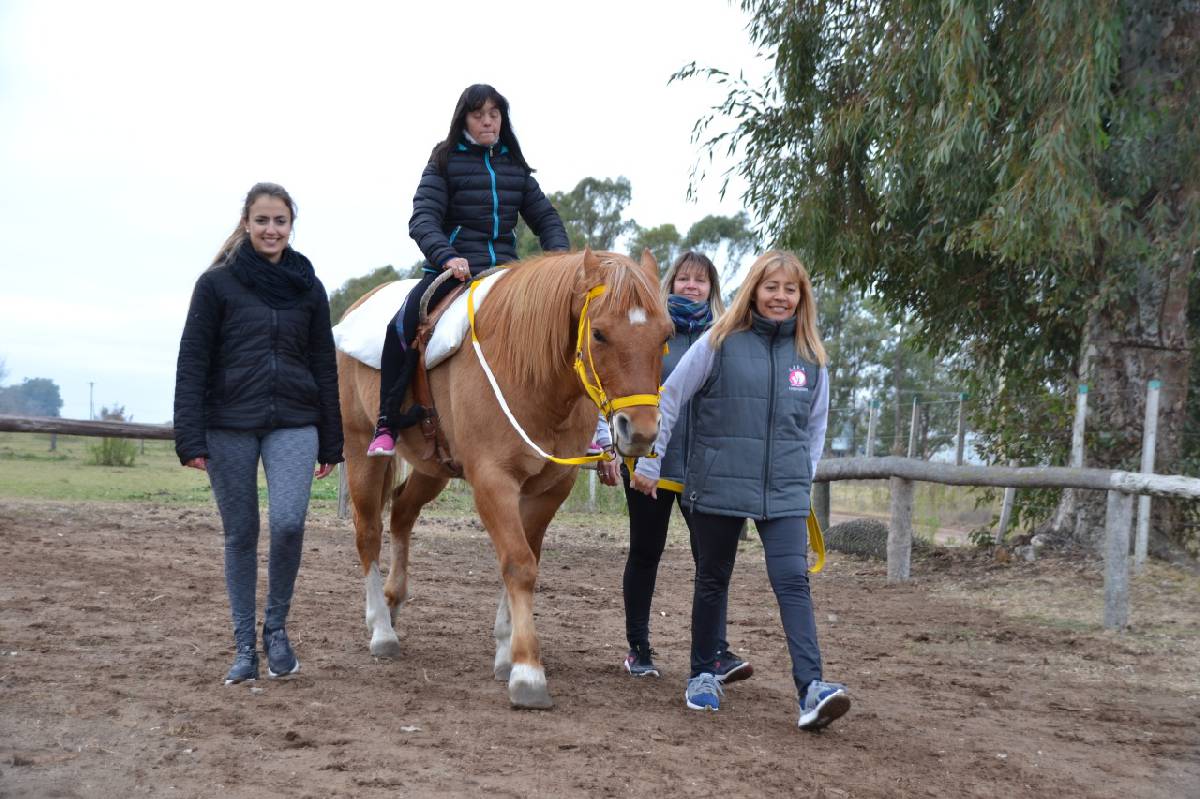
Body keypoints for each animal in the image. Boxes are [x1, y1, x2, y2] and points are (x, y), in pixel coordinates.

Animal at [340, 247, 676, 705]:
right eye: (600, 334)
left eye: (665, 336)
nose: (640, 432)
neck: (529, 372)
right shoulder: (493, 481)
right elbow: (518, 564)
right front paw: (527, 672)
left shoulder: (549, 489)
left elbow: (526, 559)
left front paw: (505, 652)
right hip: (361, 450)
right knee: (368, 532)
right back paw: (380, 629)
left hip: (433, 468)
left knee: (402, 514)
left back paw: (393, 603)